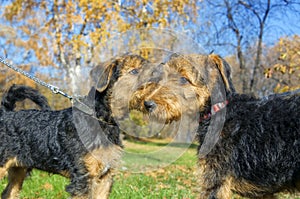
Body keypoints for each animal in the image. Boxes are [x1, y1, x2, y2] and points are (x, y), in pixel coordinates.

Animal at [0, 53, 149, 198]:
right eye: (134, 71)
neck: (100, 118)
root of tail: (6, 113)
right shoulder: (83, 177)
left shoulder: (104, 178)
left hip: (19, 169)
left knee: (8, 193)